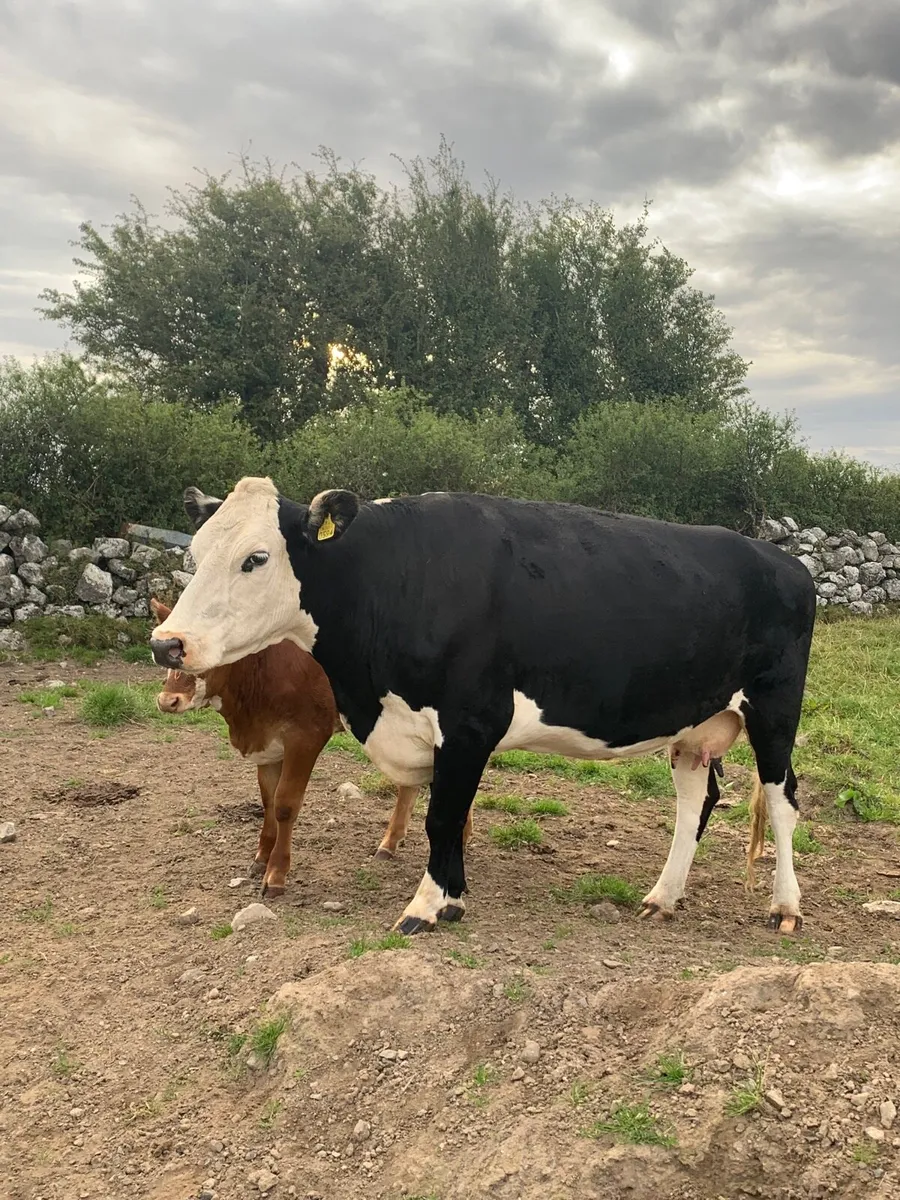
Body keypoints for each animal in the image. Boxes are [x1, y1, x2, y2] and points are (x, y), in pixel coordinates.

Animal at [149, 597, 470, 895]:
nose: (168, 701)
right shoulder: (267, 745)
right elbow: (268, 801)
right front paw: (261, 857)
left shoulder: (306, 737)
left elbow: (285, 804)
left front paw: (276, 873)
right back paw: (394, 843)